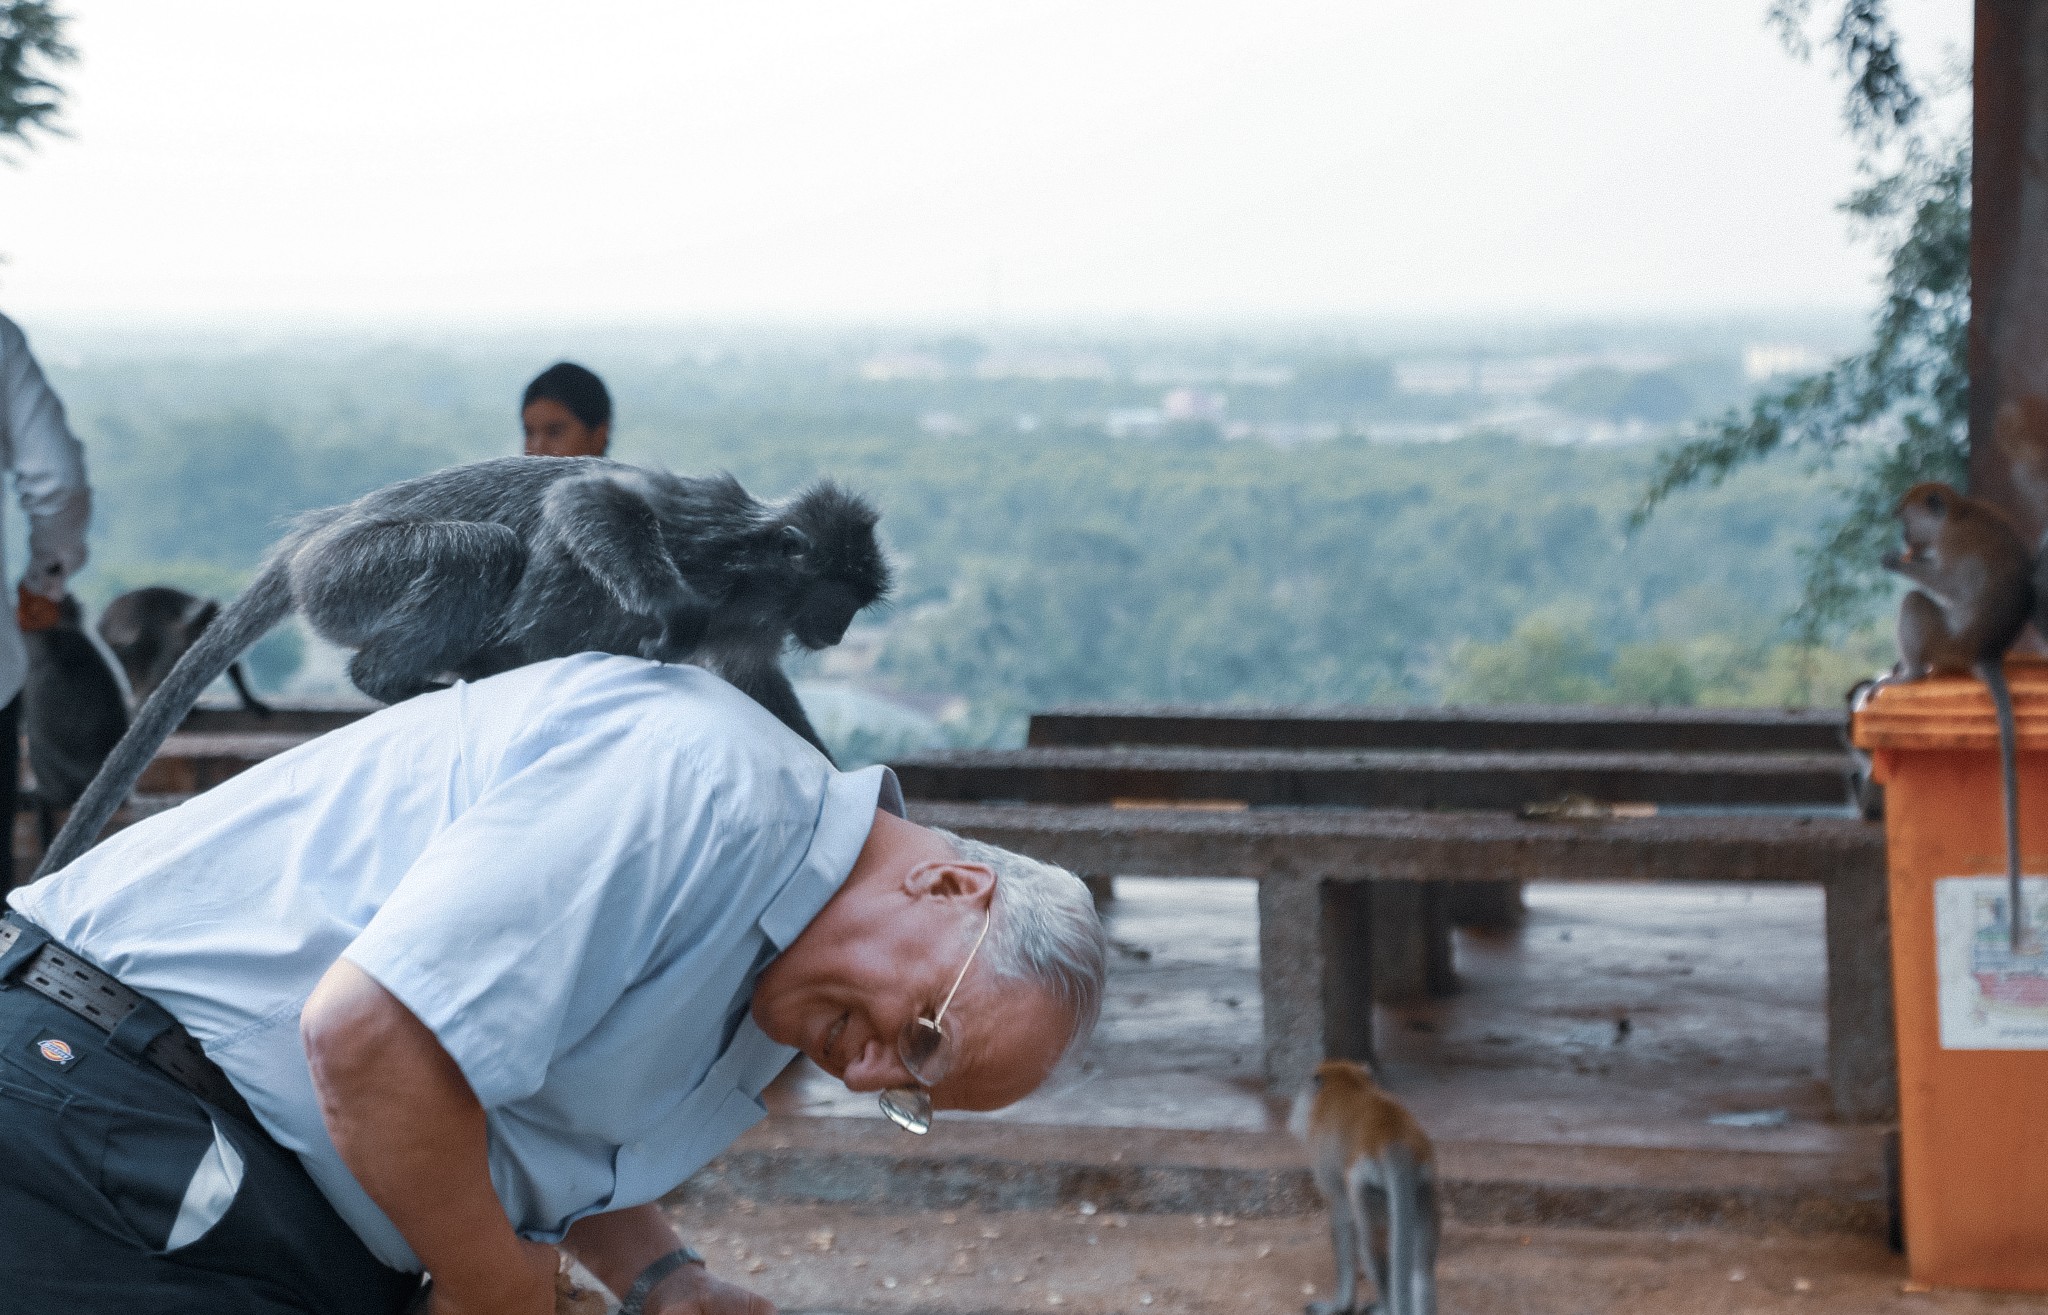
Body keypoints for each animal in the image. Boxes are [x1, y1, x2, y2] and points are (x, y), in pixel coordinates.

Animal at [1294, 1056, 1441, 1310]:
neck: (1348, 1082)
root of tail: (1393, 1141)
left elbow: (1341, 1214)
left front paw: (1339, 1306)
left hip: (1365, 1187)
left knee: (1371, 1249)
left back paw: (1384, 1306)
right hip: (1425, 1186)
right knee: (1422, 1272)